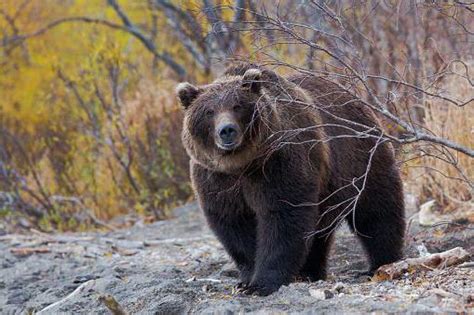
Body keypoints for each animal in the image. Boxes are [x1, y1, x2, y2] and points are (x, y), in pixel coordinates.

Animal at [176, 63, 406, 296]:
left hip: (359, 157)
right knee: (320, 232)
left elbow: (283, 217)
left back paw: (380, 264)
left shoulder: (278, 164)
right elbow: (234, 224)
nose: (226, 130)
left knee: (375, 209)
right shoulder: (217, 179)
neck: (242, 165)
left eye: (237, 105)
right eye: (209, 111)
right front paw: (246, 280)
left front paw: (262, 283)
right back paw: (310, 272)